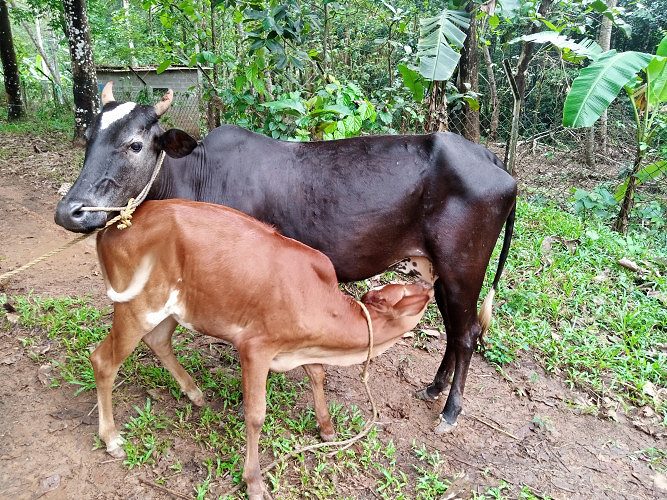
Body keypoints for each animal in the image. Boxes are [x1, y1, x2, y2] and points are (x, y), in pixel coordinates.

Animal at [55, 83, 517, 433]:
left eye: (134, 144)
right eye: (89, 139)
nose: (69, 211)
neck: (197, 173)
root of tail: (490, 159)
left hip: (463, 268)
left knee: (467, 332)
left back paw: (450, 411)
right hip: (437, 270)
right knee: (455, 330)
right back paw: (434, 388)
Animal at [94, 199, 434, 498]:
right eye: (403, 294)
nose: (429, 287)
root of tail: (112, 226)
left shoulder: (300, 346)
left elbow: (317, 375)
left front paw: (327, 428)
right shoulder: (255, 348)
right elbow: (256, 414)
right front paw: (253, 481)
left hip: (171, 309)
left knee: (158, 341)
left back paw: (194, 393)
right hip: (136, 306)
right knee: (102, 360)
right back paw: (112, 438)